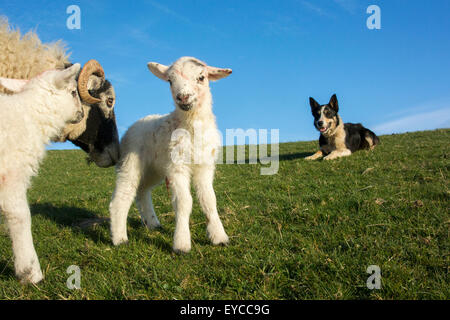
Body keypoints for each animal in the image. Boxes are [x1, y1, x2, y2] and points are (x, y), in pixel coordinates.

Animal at [0, 64, 83, 282]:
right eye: (73, 92)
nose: (81, 113)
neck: (31, 115)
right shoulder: (12, 175)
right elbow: (21, 216)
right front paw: (30, 272)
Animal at [109, 57, 232, 252]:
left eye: (201, 77)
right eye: (170, 81)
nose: (183, 97)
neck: (191, 126)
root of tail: (138, 122)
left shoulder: (205, 166)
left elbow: (209, 200)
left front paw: (219, 237)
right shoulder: (177, 167)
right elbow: (184, 202)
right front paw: (181, 244)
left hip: (154, 169)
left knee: (142, 191)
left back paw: (152, 223)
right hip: (130, 161)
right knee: (124, 194)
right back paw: (120, 239)